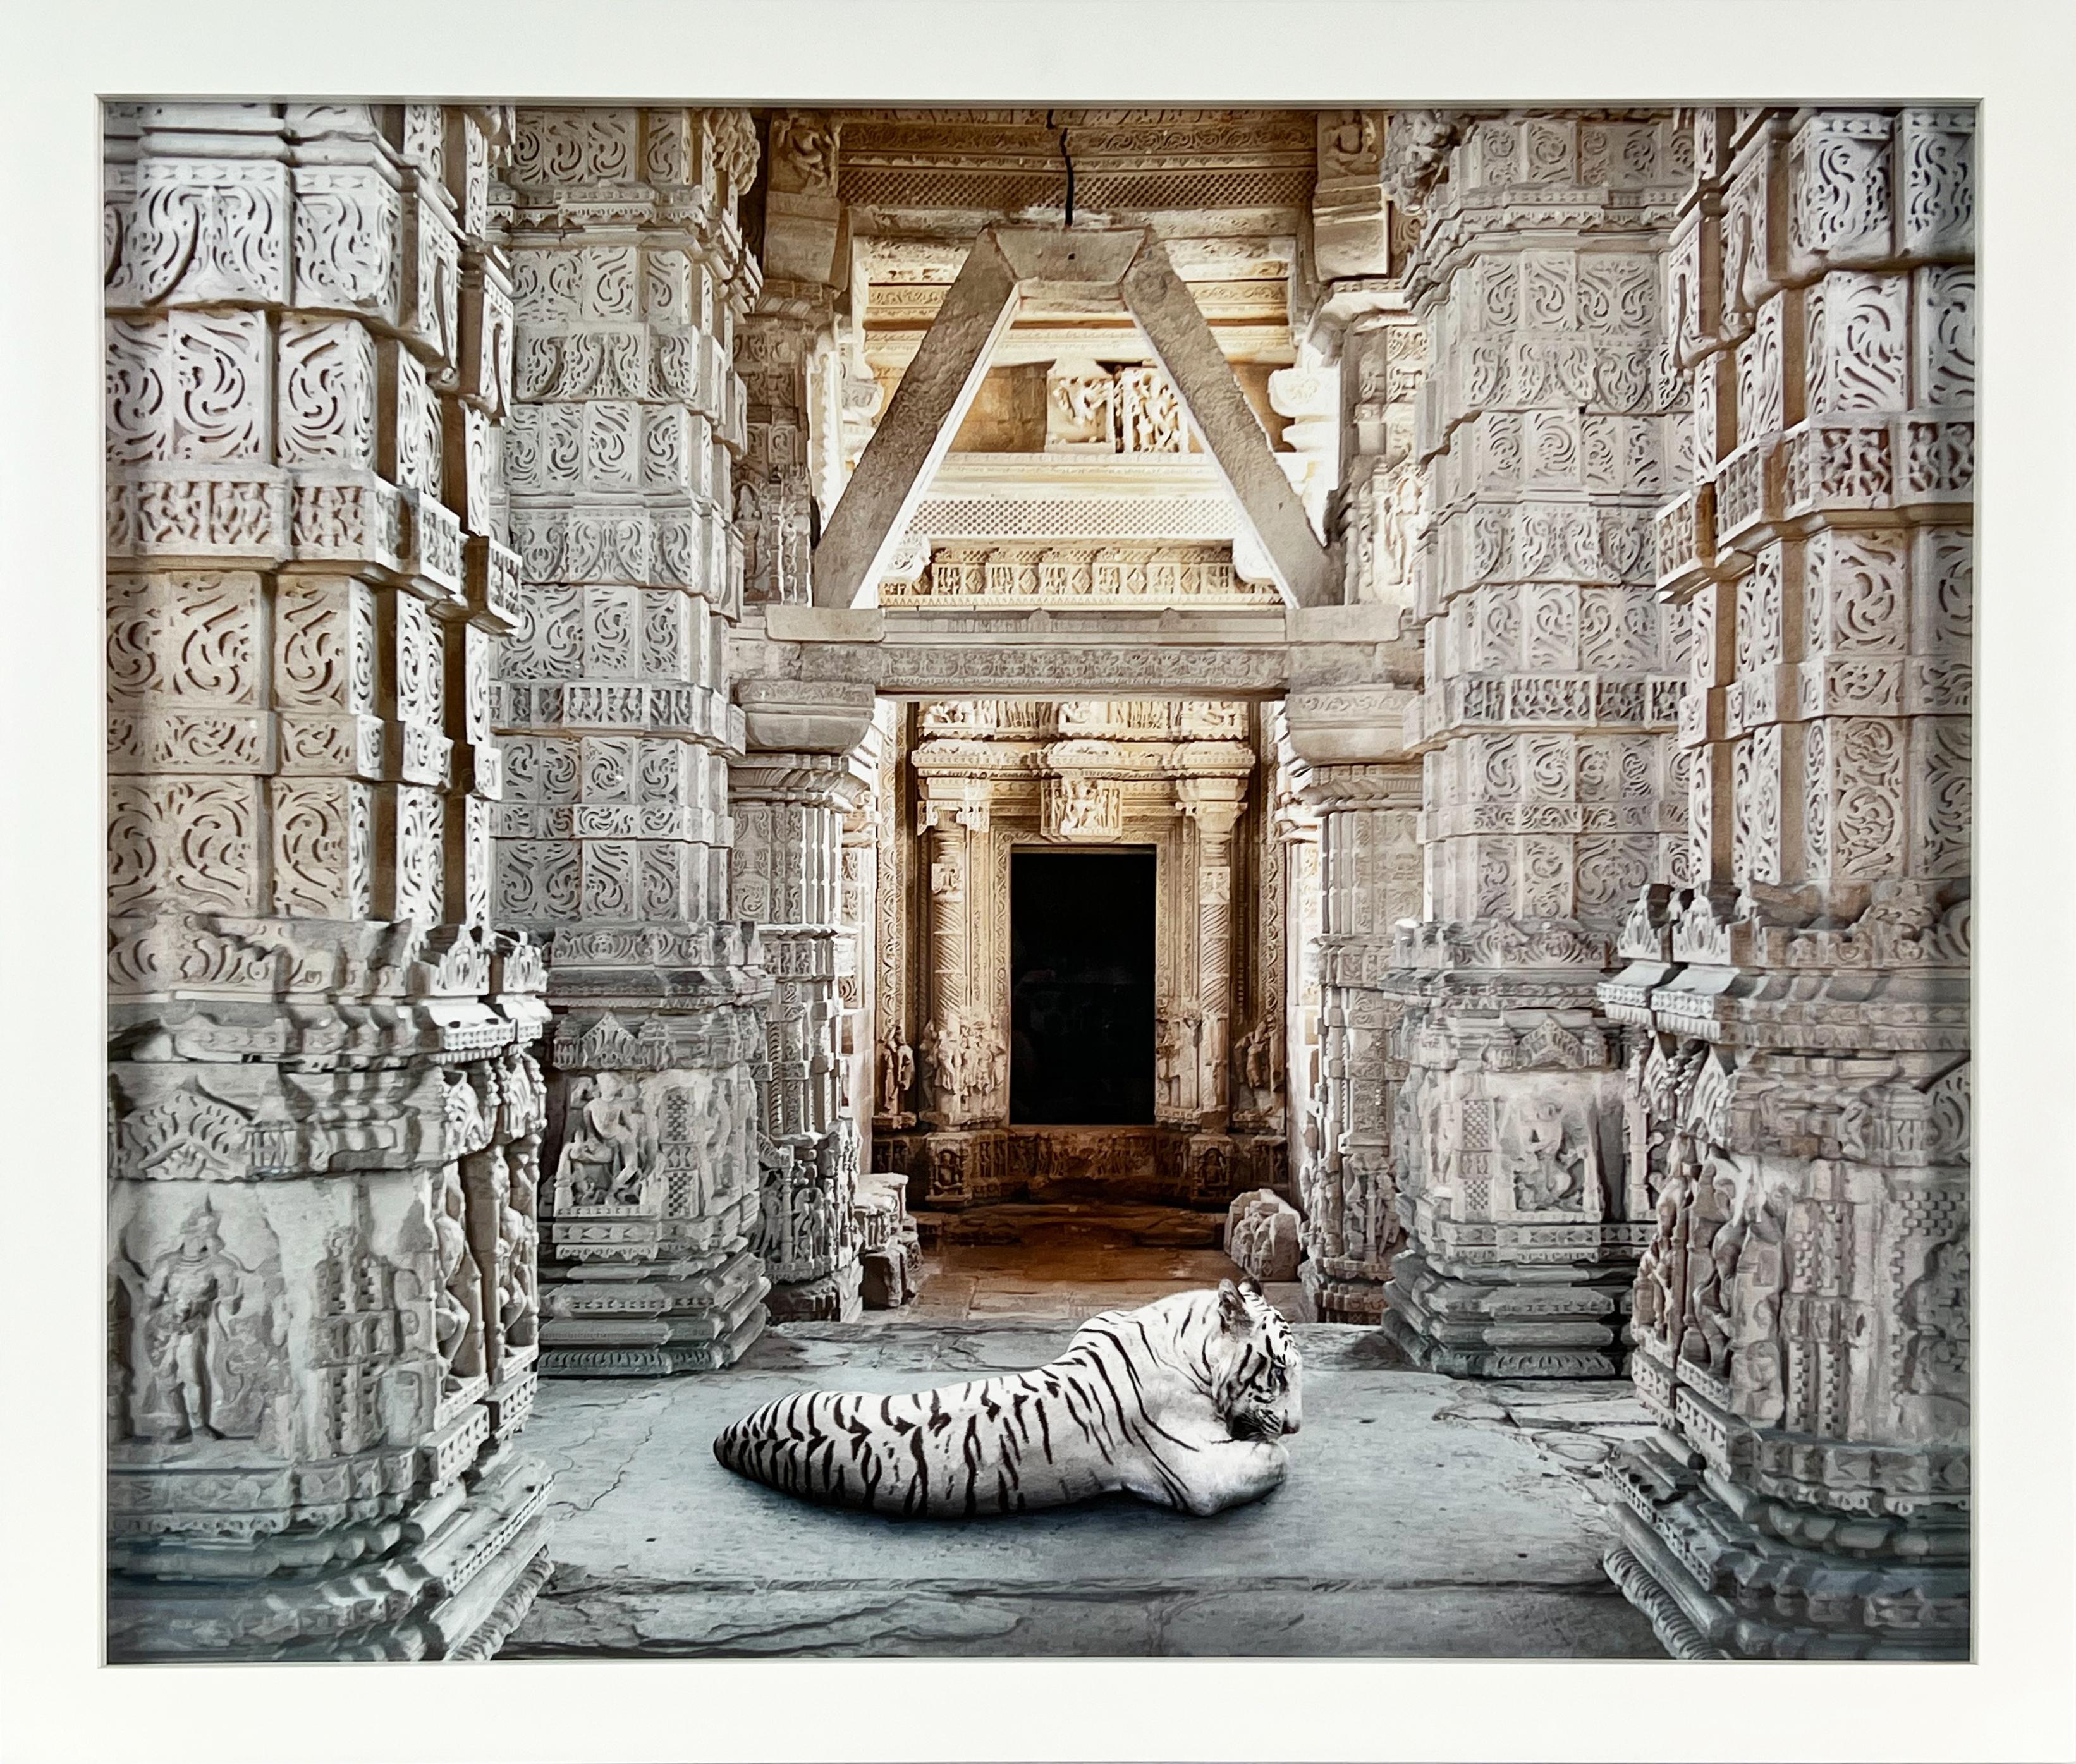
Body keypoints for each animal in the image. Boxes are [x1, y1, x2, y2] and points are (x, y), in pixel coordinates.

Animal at [714, 1278, 1295, 1511]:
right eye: (1280, 1373)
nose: (1295, 1424)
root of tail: (726, 1439)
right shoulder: (1204, 1475)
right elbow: (1275, 1459)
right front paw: (1272, 1439)